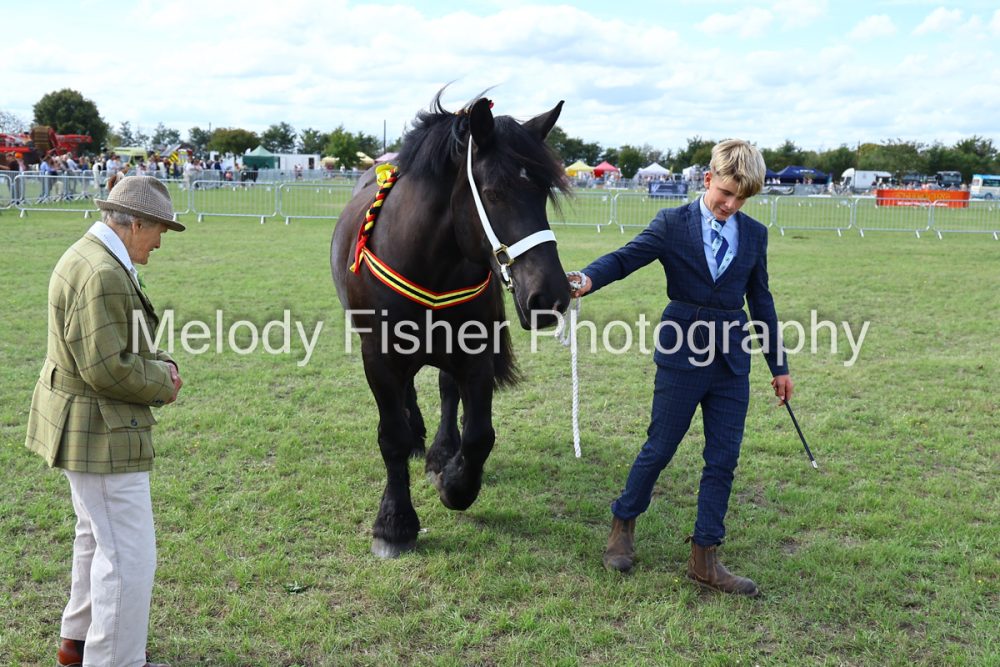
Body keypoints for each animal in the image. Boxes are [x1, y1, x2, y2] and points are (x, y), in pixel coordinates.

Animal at [331, 92, 571, 557]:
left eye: (543, 192)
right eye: (493, 193)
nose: (550, 296)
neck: (427, 262)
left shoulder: (474, 354)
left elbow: (478, 434)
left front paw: (455, 481)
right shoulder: (379, 358)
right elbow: (391, 436)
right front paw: (394, 523)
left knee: (445, 391)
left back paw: (441, 452)